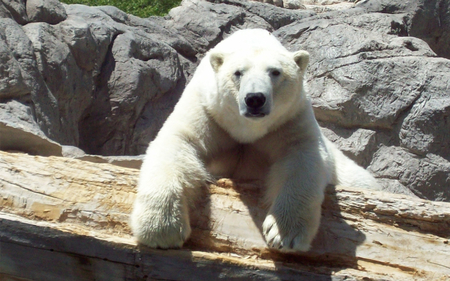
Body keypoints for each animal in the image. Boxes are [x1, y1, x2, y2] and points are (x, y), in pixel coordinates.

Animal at [130, 29, 380, 252]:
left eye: (275, 72)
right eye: (238, 72)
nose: (255, 99)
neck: (247, 129)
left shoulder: (290, 119)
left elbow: (302, 155)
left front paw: (284, 234)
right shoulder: (208, 109)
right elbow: (178, 141)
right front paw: (160, 229)